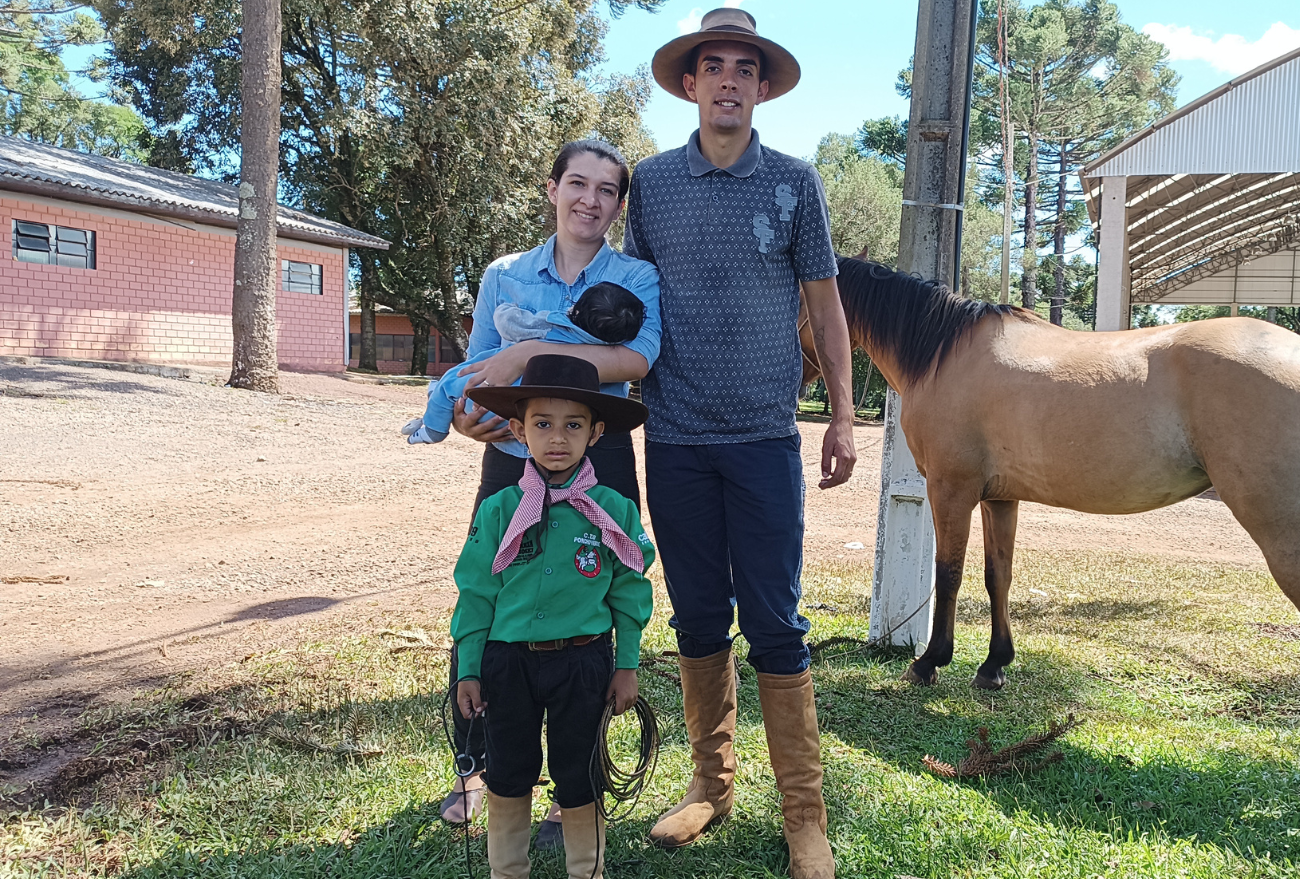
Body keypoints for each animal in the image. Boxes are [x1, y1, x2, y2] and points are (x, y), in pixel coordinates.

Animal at [795, 257, 1300, 691]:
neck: (942, 355)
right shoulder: (998, 497)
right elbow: (998, 574)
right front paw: (994, 665)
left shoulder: (950, 489)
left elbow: (949, 573)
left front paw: (929, 661)